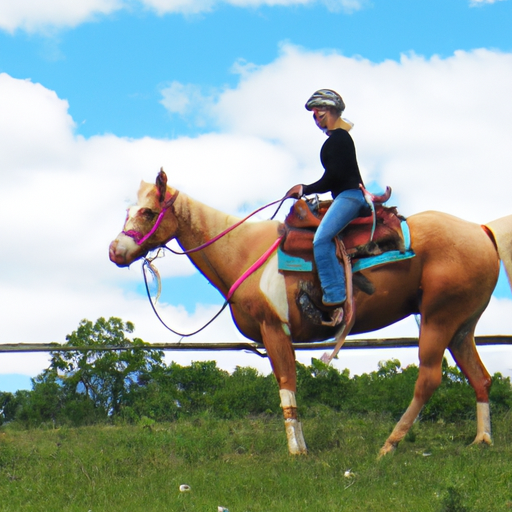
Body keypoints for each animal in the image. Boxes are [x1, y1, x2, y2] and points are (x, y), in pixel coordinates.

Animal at [109, 169, 512, 456]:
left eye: (147, 211)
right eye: (126, 211)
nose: (115, 251)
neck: (242, 250)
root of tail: (482, 231)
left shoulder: (274, 328)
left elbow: (286, 385)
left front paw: (296, 452)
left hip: (438, 319)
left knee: (429, 379)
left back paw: (389, 445)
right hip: (461, 325)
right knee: (481, 378)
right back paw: (482, 441)